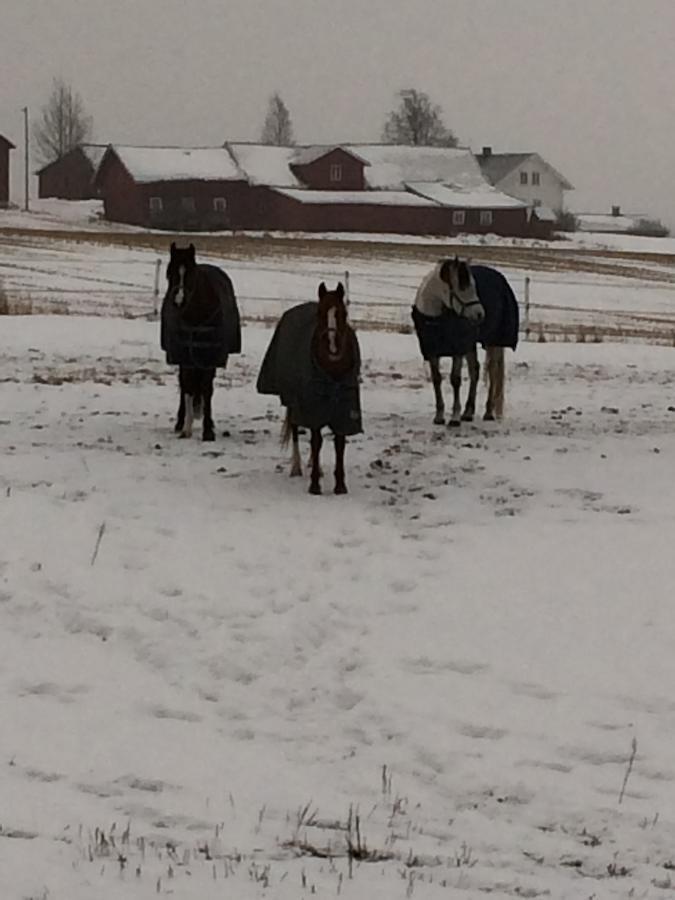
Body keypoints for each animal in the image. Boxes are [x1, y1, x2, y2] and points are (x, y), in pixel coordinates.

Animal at [258, 282, 362, 496]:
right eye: (320, 313)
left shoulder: (344, 409)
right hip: (293, 402)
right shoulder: (312, 405)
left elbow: (339, 443)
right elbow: (316, 441)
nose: (333, 347)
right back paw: (297, 467)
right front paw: (315, 485)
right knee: (296, 430)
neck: (332, 373)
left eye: (343, 313)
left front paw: (340, 486)